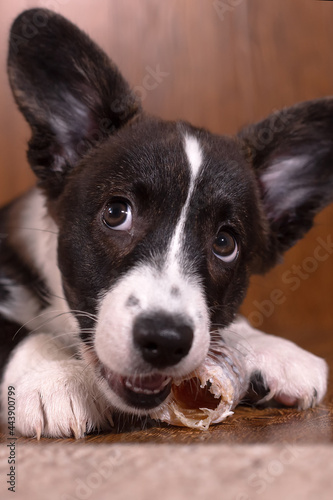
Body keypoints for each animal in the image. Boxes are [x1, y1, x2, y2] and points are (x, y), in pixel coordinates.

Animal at [0, 8, 330, 438]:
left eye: (225, 243)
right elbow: (16, 332)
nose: (166, 340)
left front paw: (273, 348)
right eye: (116, 214)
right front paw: (54, 374)